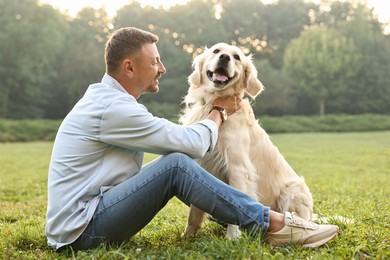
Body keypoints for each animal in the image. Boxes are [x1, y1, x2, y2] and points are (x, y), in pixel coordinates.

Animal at [181, 43, 314, 240]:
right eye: (216, 51)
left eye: (237, 57)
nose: (225, 58)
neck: (214, 104)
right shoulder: (203, 165)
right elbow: (194, 212)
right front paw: (187, 236)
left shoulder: (237, 168)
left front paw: (232, 238)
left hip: (292, 191)